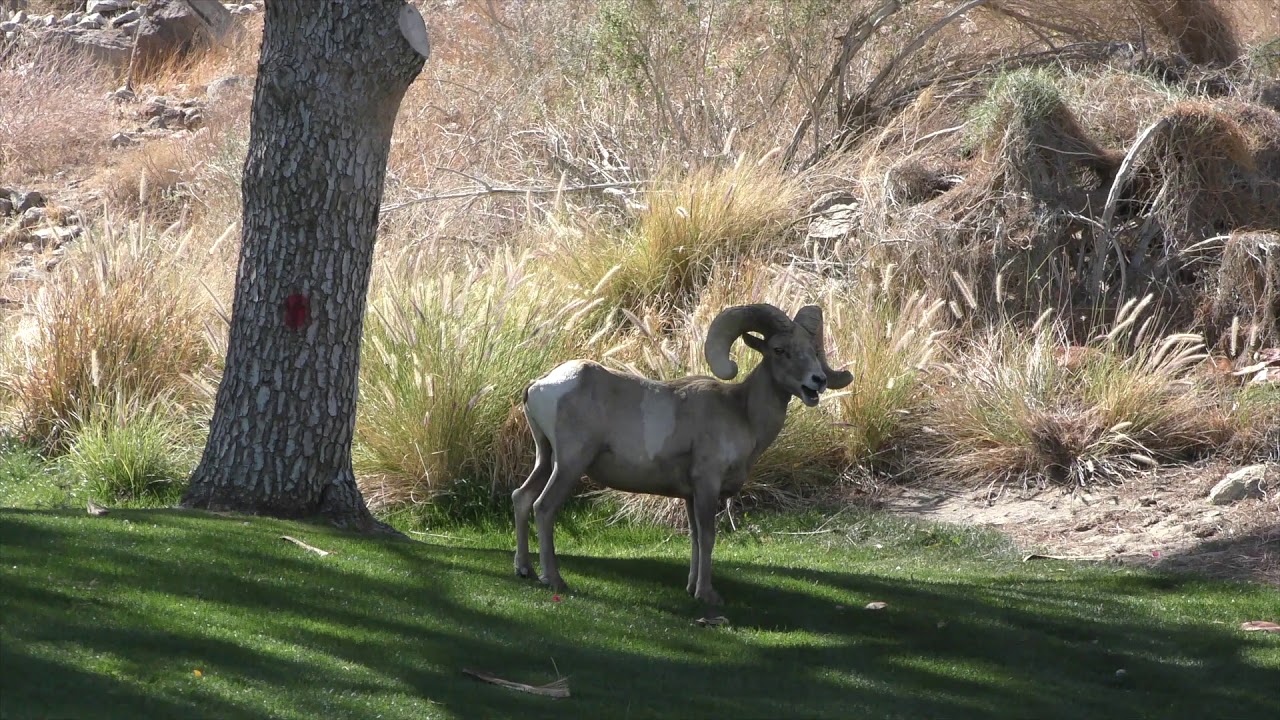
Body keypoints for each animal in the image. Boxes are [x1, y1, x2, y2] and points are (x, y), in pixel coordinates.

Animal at [512, 303, 852, 605]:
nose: (818, 382)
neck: (741, 412)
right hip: (569, 464)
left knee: (522, 497)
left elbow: (695, 538)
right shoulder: (707, 485)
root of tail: (541, 385)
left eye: (813, 350)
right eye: (780, 350)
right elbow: (709, 536)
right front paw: (707, 595)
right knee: (543, 507)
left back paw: (525, 570)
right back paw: (554, 579)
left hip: (546, 458)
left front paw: (691, 588)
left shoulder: (690, 495)